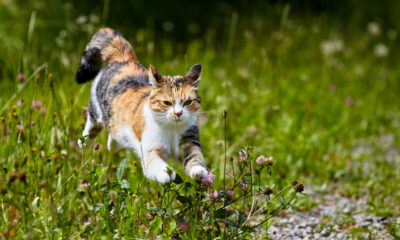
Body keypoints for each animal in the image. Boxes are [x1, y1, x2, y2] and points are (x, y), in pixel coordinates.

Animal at [75, 27, 208, 184]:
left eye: (187, 102)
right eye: (167, 103)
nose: (178, 113)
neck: (171, 129)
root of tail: (123, 59)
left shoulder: (189, 141)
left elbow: (195, 156)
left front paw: (199, 170)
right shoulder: (150, 148)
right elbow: (154, 163)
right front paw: (166, 174)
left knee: (113, 138)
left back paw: (112, 145)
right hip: (97, 112)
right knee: (92, 126)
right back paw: (84, 142)